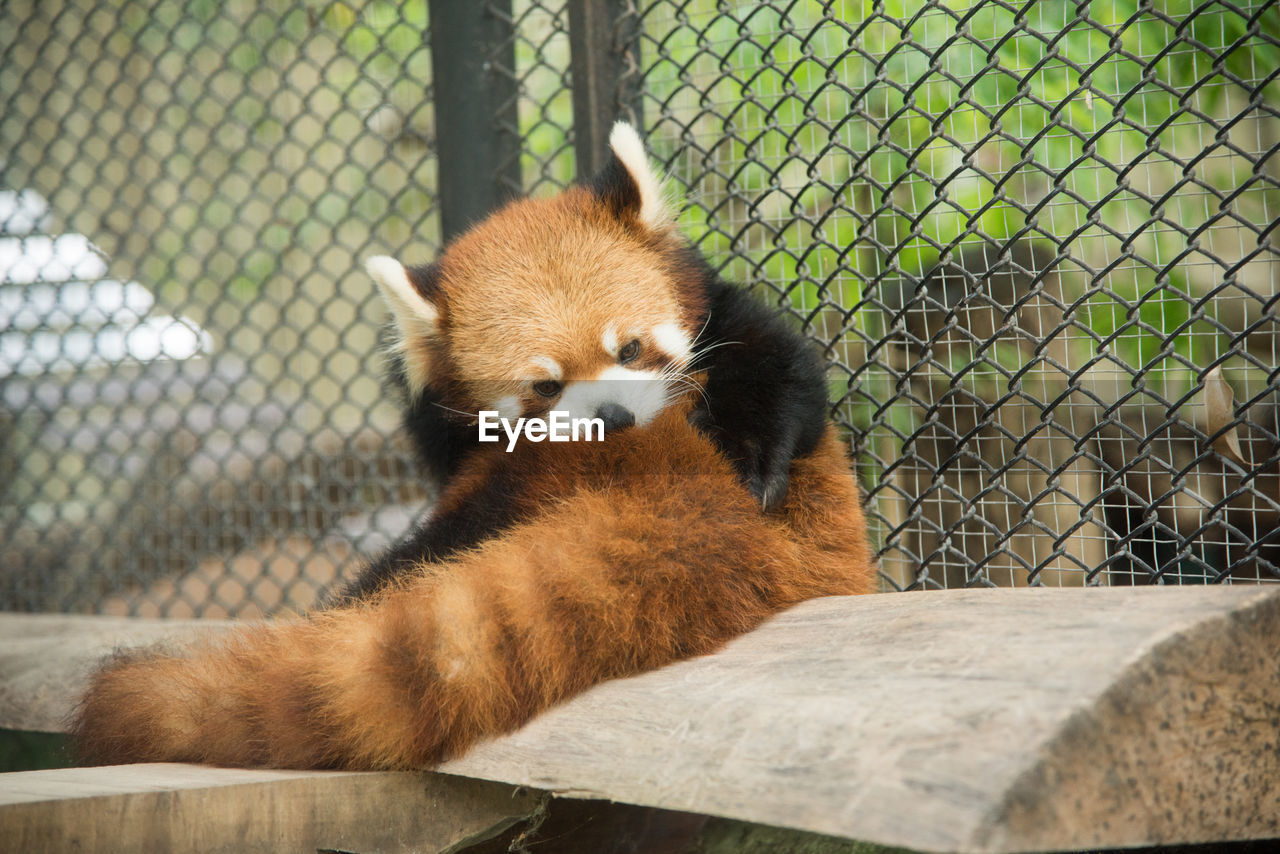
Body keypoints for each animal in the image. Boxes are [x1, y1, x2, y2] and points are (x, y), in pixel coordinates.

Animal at [72, 123, 880, 773]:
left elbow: (777, 364)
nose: (614, 415)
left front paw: (756, 454)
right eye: (544, 385)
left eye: (629, 347)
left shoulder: (722, 317)